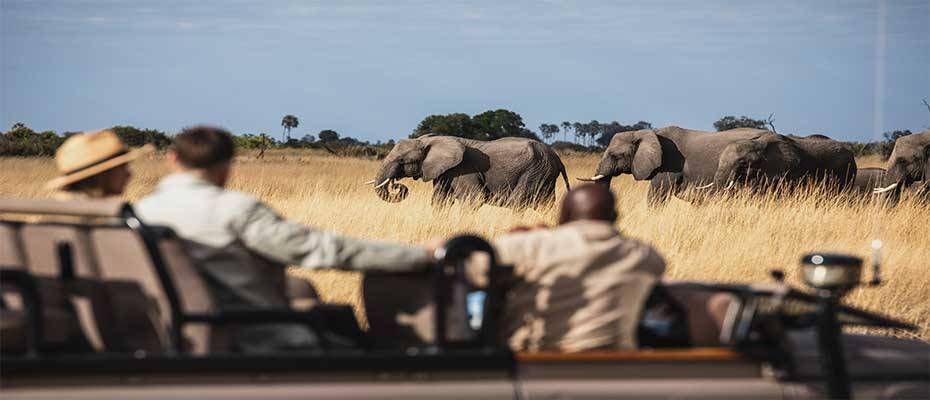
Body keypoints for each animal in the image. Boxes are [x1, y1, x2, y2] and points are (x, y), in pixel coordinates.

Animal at [366, 135, 568, 209]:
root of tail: (558, 159)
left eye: (402, 160)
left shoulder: (464, 170)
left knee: (518, 202)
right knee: (545, 204)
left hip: (534, 171)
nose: (397, 186)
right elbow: (440, 200)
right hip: (544, 174)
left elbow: (474, 200)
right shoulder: (444, 172)